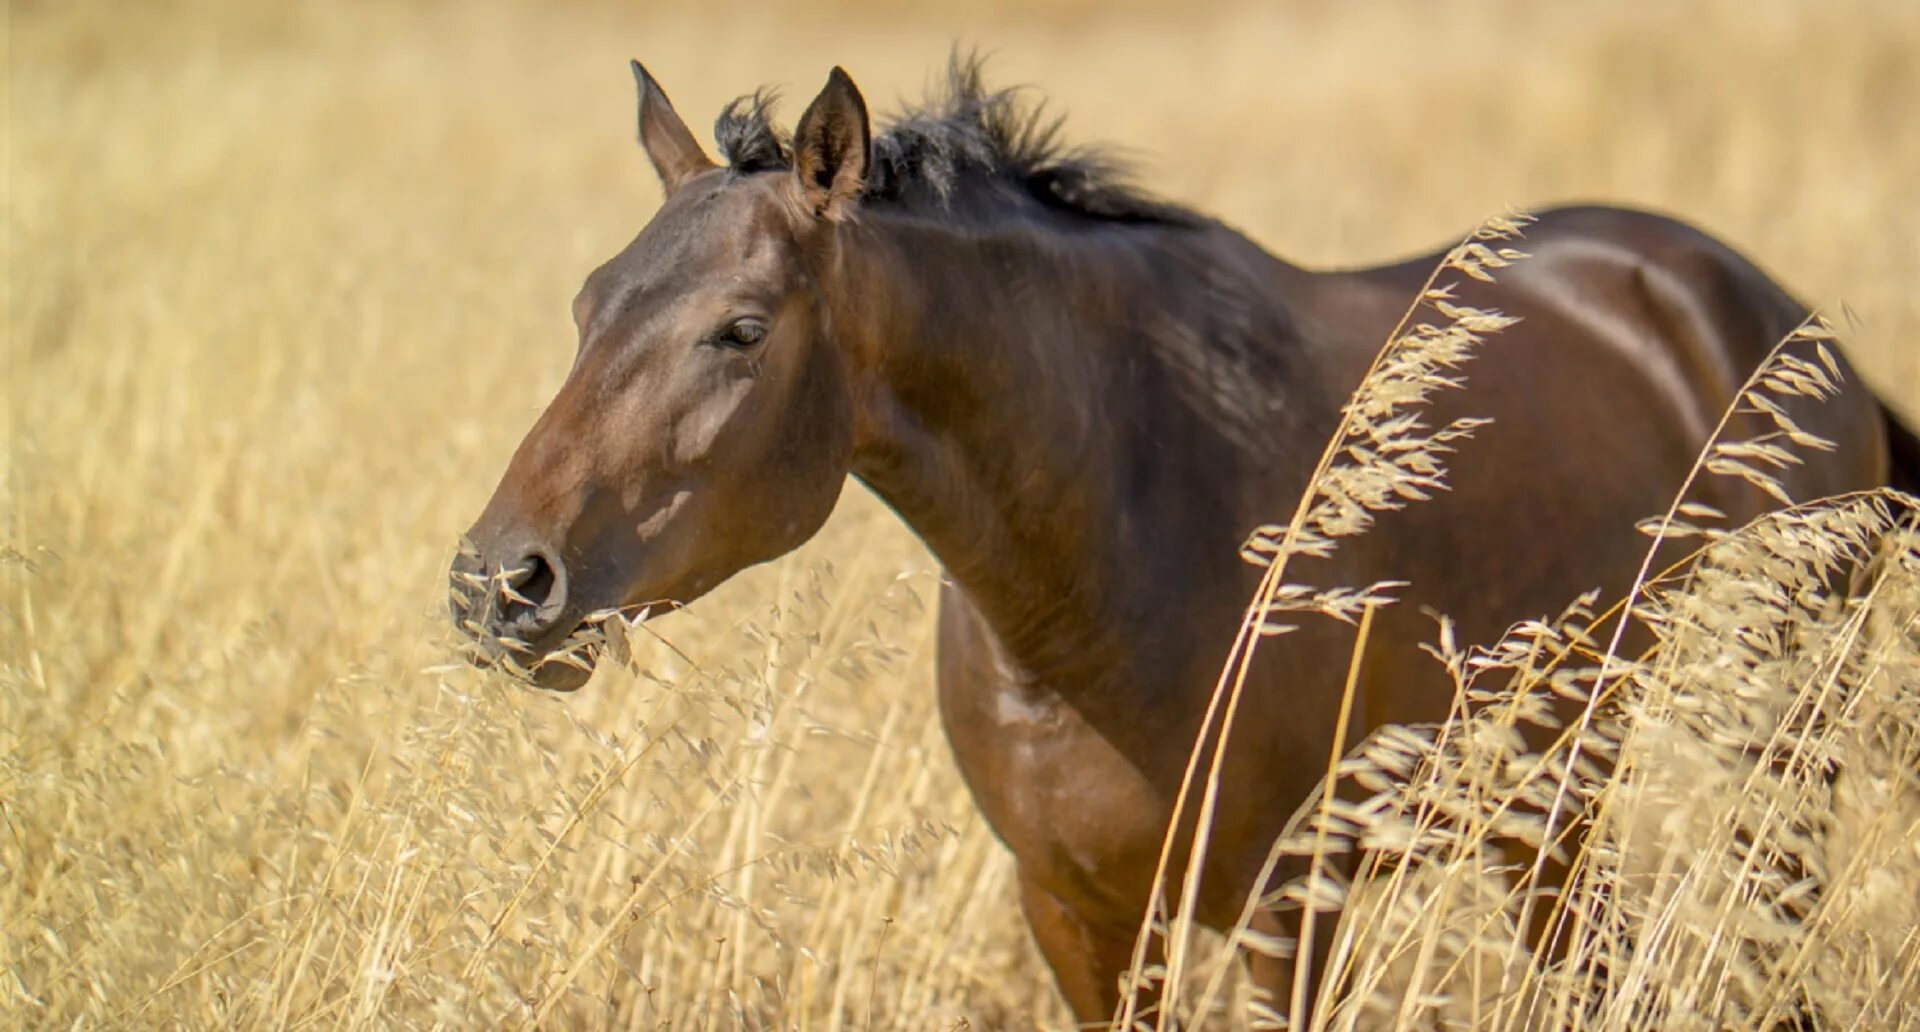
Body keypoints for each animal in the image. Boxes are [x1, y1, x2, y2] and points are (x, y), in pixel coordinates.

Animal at [453, 60, 1920, 1020]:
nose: (501, 585)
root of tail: (1768, 314)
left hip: (1779, 766)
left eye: (741, 329)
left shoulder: (1289, 909)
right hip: (1548, 805)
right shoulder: (1080, 914)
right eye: (588, 304)